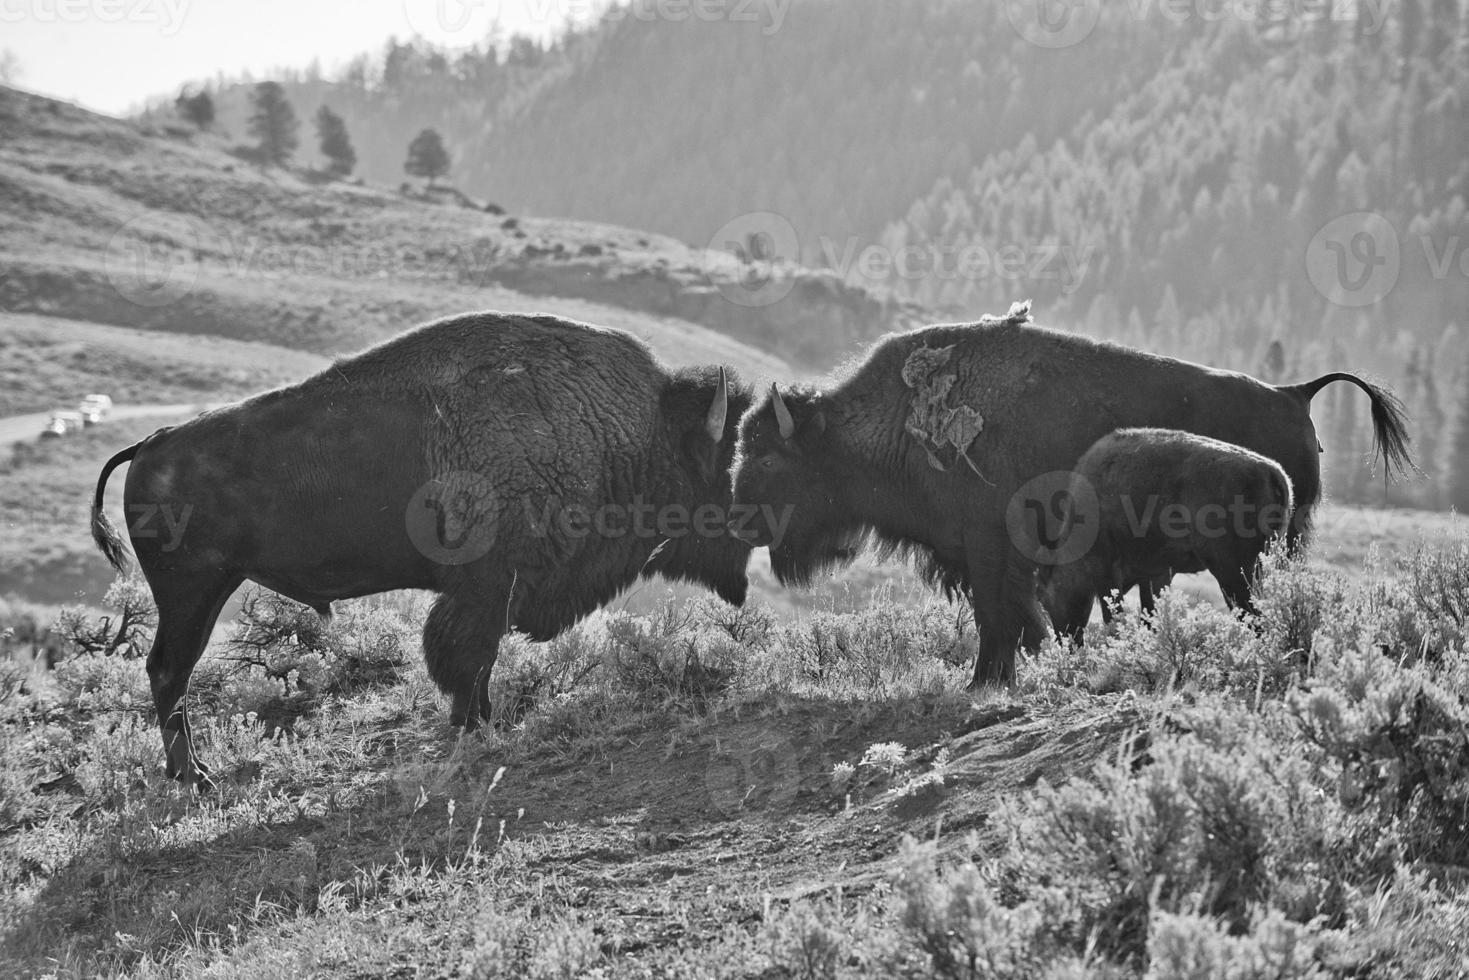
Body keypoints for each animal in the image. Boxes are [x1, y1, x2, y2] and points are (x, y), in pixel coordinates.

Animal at [90, 314, 752, 787]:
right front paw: (474, 726)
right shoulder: (487, 588)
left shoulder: (492, 592)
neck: (625, 432)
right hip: (192, 592)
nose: (746, 559)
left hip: (204, 590)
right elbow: (467, 657)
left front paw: (481, 722)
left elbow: (477, 659)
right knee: (169, 671)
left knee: (169, 673)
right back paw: (195, 777)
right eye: (724, 467)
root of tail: (150, 445)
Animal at [1034, 429, 1298, 643]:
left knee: (1252, 616)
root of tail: (1274, 473)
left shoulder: (1107, 571)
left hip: (1232, 571)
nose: (1066, 641)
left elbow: (1114, 616)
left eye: (1045, 597)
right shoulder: (1155, 573)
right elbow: (1149, 613)